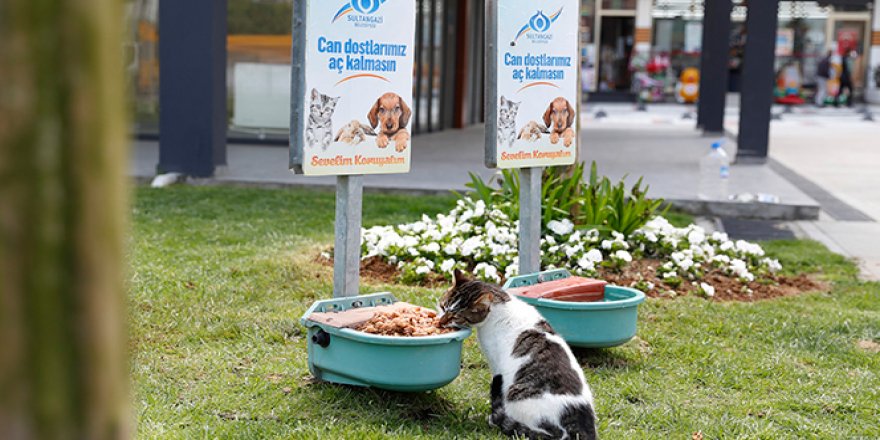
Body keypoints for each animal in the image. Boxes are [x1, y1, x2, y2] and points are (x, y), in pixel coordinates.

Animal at [440, 270, 600, 438]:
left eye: (456, 316)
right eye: (443, 307)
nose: (440, 322)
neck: (500, 306)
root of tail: (580, 425)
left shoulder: (496, 366)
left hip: (519, 399)